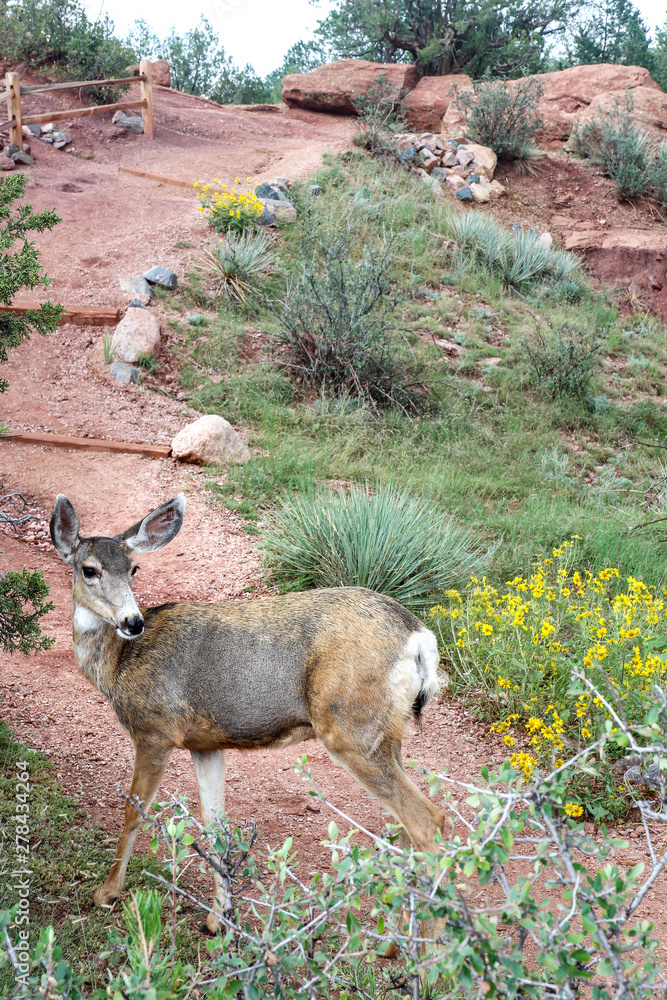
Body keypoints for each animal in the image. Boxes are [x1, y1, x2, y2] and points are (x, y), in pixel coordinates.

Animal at [50, 492, 445, 934]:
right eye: (89, 569)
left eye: (134, 568)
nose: (132, 621)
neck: (119, 665)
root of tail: (419, 638)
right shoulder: (203, 743)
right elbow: (214, 825)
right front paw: (216, 920)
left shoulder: (155, 728)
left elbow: (133, 813)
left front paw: (106, 893)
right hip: (387, 735)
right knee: (409, 830)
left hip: (350, 728)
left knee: (428, 821)